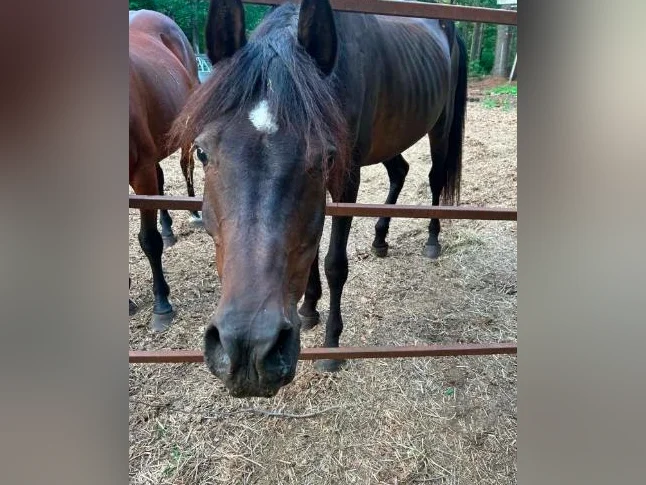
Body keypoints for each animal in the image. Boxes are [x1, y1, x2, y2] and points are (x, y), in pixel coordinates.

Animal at [170, 0, 467, 397]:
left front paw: (330, 346)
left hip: (440, 126)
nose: (248, 347)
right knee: (400, 171)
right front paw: (309, 308)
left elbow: (334, 263)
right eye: (202, 152)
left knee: (435, 179)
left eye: (325, 157)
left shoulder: (346, 178)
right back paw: (380, 239)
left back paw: (432, 240)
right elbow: (309, 248)